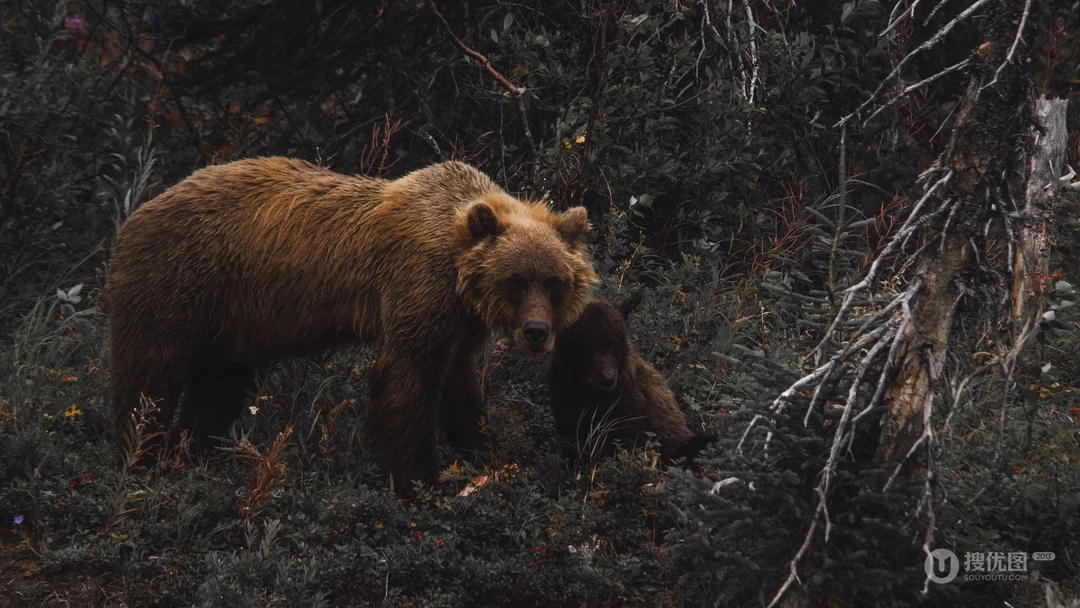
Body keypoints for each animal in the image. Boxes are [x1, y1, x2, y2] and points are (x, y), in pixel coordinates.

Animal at [109, 157, 597, 493]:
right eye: (515, 280)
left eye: (554, 281)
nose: (537, 332)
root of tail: (138, 212)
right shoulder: (417, 285)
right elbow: (406, 379)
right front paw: (420, 481)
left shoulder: (461, 320)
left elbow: (457, 385)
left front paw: (489, 454)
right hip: (178, 281)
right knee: (150, 378)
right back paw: (140, 456)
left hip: (230, 323)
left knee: (217, 387)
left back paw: (191, 455)